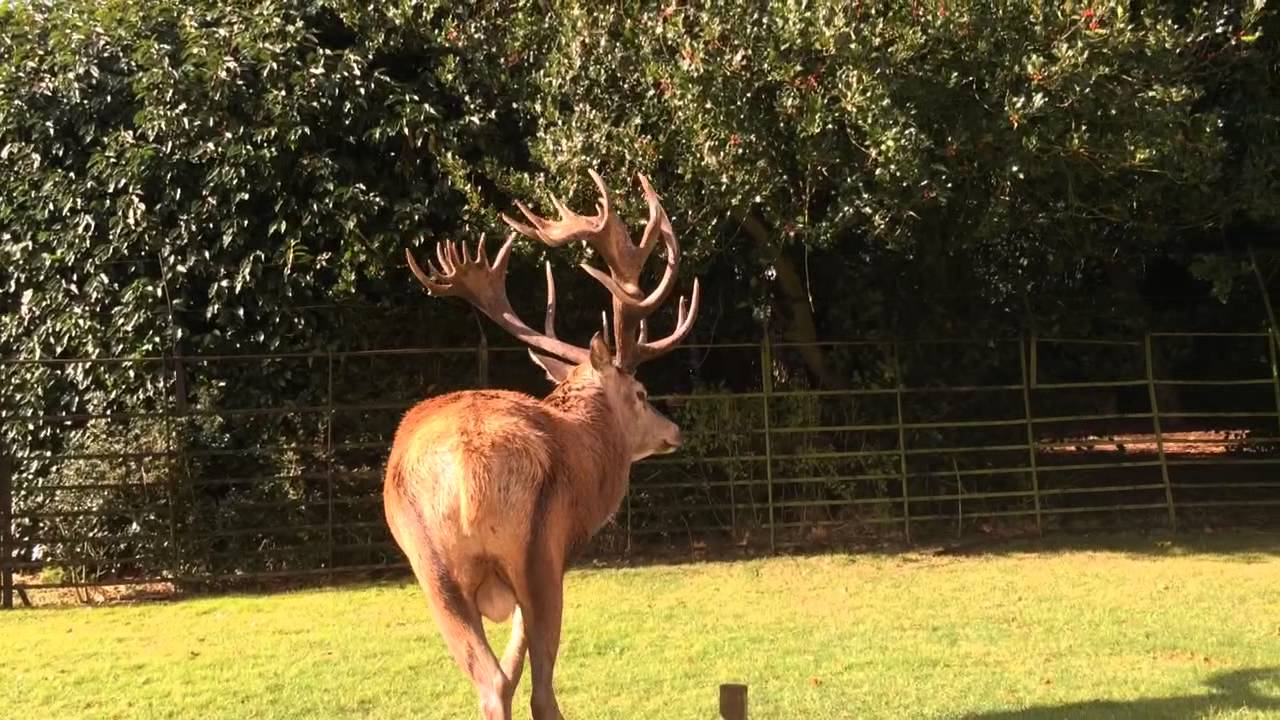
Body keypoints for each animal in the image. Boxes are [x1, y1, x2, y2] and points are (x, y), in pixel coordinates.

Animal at [383, 170, 701, 720]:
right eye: (641, 393)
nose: (673, 430)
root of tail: (469, 465)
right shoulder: (558, 550)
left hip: (428, 563)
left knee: (491, 680)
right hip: (538, 553)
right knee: (535, 689)